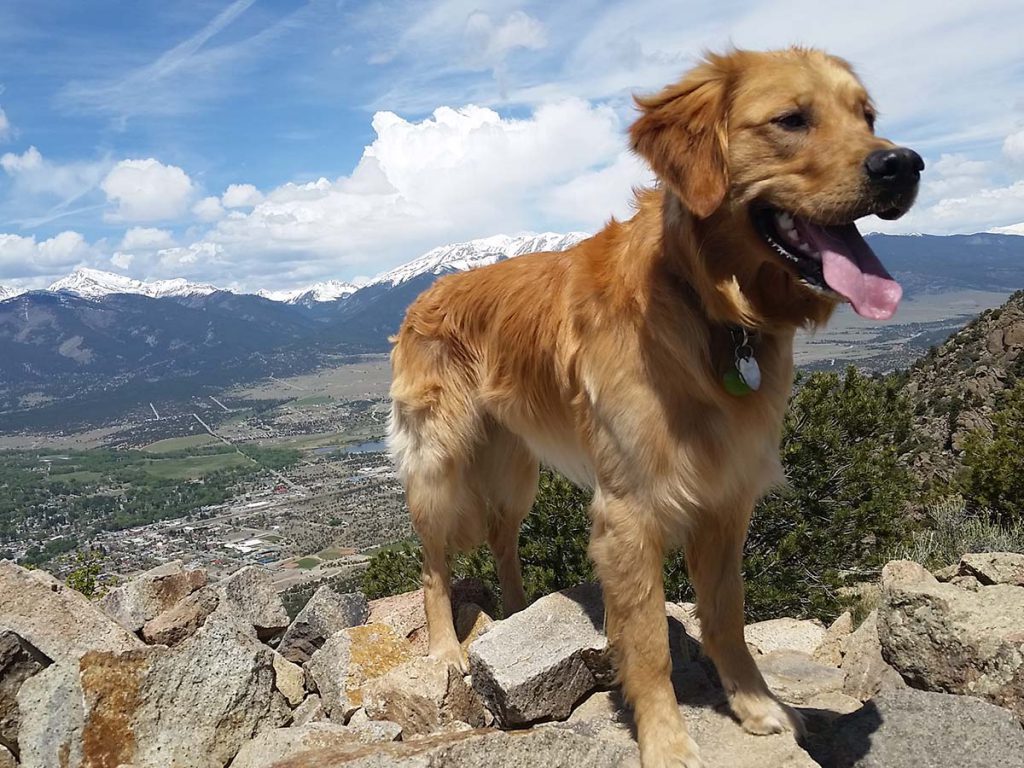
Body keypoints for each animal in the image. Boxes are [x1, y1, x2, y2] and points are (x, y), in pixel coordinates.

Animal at [387, 49, 925, 768]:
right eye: (791, 119)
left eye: (867, 117)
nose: (904, 165)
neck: (706, 304)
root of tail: (427, 290)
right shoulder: (629, 511)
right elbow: (646, 646)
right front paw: (667, 741)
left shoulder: (725, 495)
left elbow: (726, 617)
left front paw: (757, 705)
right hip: (440, 464)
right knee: (433, 565)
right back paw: (449, 648)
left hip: (516, 466)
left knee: (503, 538)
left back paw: (519, 610)